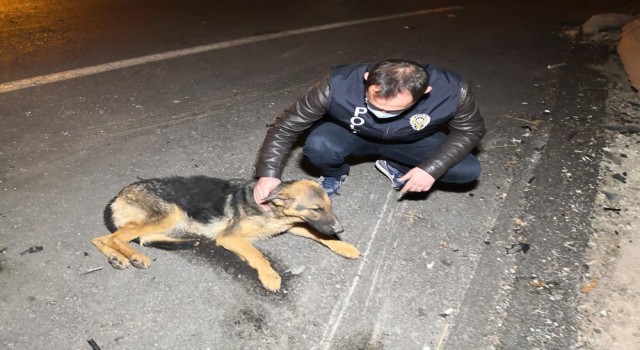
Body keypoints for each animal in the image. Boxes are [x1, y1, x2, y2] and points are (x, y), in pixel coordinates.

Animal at [90, 176, 360, 292]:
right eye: (316, 209)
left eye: (329, 206)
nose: (341, 229)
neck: (271, 208)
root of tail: (118, 195)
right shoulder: (230, 238)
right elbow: (258, 255)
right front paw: (270, 276)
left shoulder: (292, 225)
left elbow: (320, 235)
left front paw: (343, 246)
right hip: (171, 213)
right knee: (111, 238)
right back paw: (131, 257)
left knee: (113, 238)